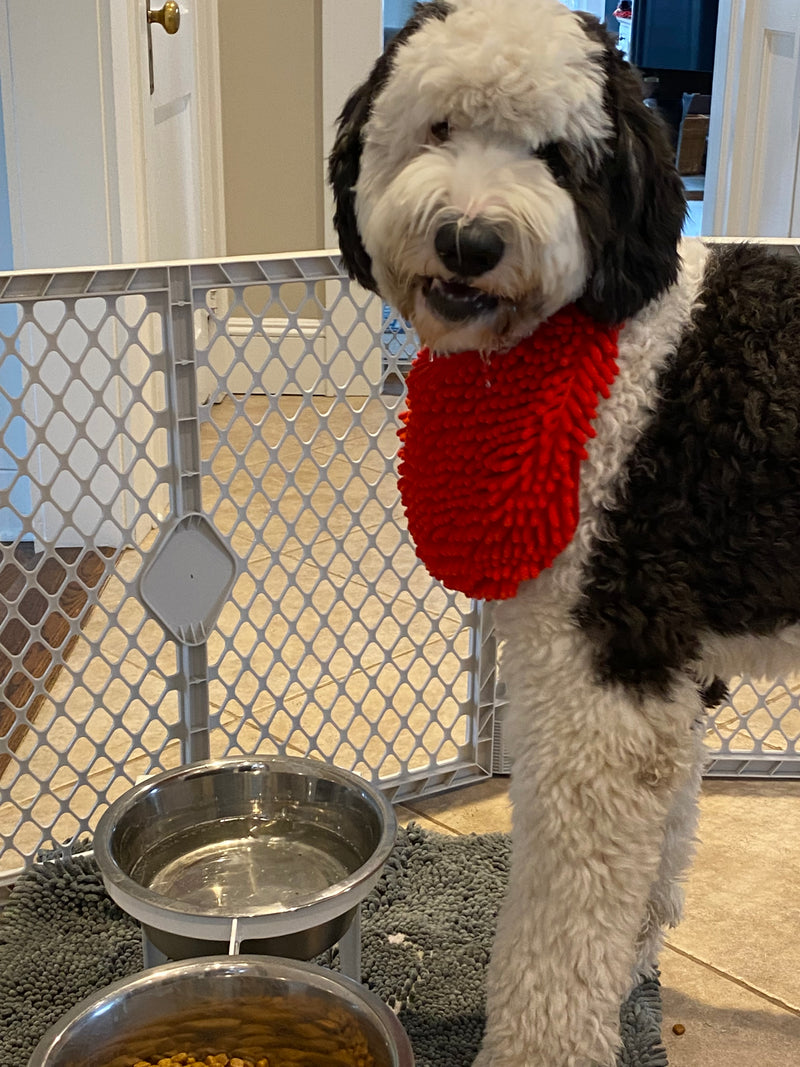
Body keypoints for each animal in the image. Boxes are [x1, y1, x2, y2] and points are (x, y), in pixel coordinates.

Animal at [330, 2, 800, 1067]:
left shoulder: (604, 679)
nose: (469, 240)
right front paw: (636, 964)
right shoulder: (670, 678)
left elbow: (558, 922)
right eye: (440, 127)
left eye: (557, 157)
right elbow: (659, 846)